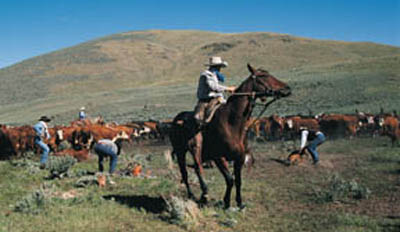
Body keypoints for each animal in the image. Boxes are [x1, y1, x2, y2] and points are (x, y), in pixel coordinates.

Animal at [169, 64, 290, 208]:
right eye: (263, 76)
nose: (287, 88)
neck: (231, 122)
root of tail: (176, 119)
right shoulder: (219, 157)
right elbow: (230, 179)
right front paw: (226, 202)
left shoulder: (239, 158)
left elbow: (238, 180)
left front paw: (239, 202)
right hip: (183, 150)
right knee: (190, 171)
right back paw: (198, 195)